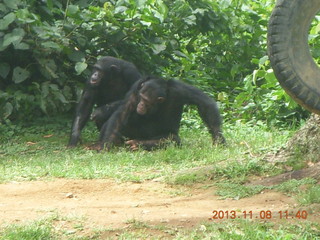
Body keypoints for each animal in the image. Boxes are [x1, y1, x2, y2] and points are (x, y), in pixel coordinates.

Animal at [94, 76, 225, 151]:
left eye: (146, 100)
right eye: (141, 97)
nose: (140, 105)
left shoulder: (180, 89)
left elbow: (204, 102)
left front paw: (218, 139)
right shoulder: (136, 89)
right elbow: (122, 112)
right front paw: (106, 145)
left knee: (173, 138)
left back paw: (138, 144)